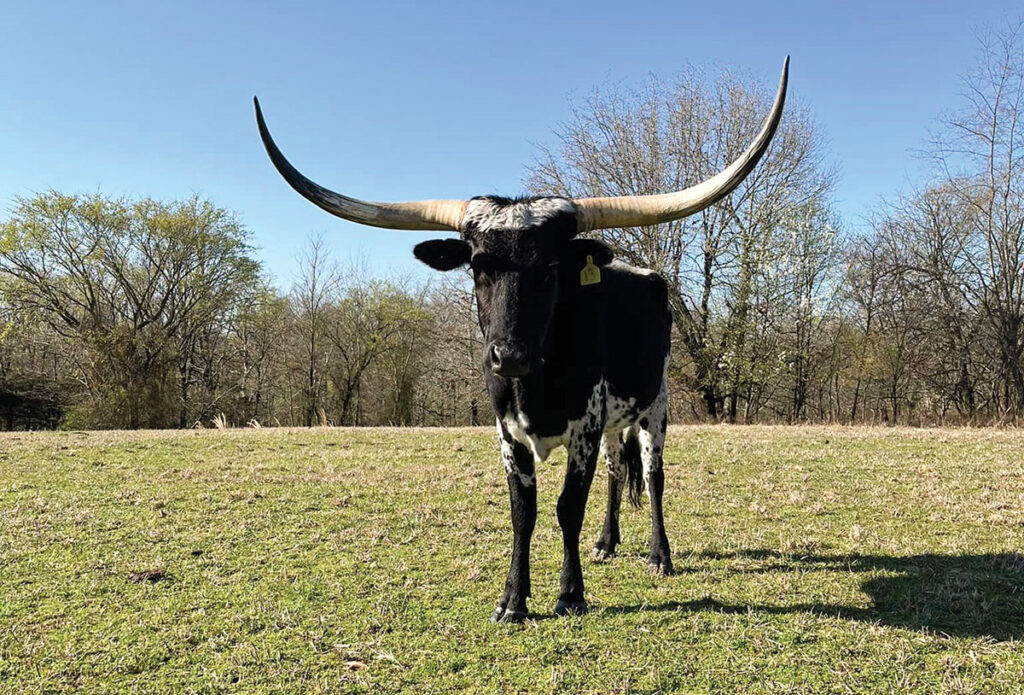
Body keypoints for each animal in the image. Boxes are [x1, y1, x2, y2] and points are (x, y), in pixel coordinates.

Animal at [251, 57, 786, 622]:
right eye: (477, 267)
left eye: (550, 268)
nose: (508, 355)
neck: (537, 382)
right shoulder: (508, 434)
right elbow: (522, 513)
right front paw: (513, 598)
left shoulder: (585, 427)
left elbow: (567, 508)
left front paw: (570, 594)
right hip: (617, 418)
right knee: (618, 470)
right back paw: (607, 542)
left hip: (655, 403)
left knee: (652, 472)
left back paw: (659, 555)